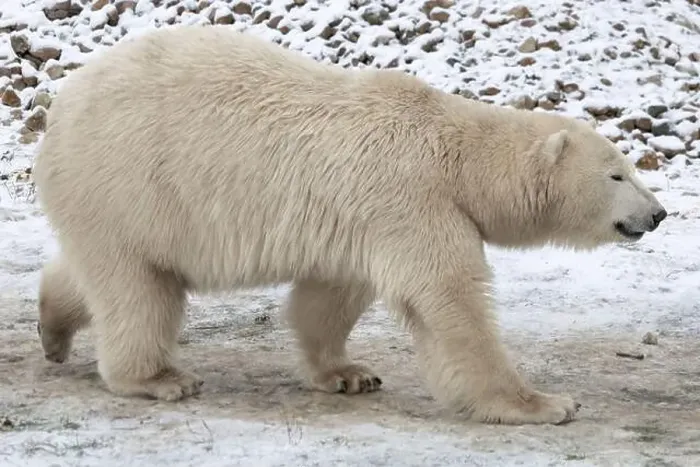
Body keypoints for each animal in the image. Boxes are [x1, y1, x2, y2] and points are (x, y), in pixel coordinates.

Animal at [33, 25, 667, 425]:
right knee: (137, 288)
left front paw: (348, 373)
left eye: (631, 167)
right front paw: (544, 404)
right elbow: (447, 298)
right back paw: (160, 377)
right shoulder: (409, 198)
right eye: (617, 173)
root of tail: (60, 108)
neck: (452, 150)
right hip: (131, 182)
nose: (658, 213)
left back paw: (53, 330)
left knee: (107, 273)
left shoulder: (361, 215)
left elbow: (330, 295)